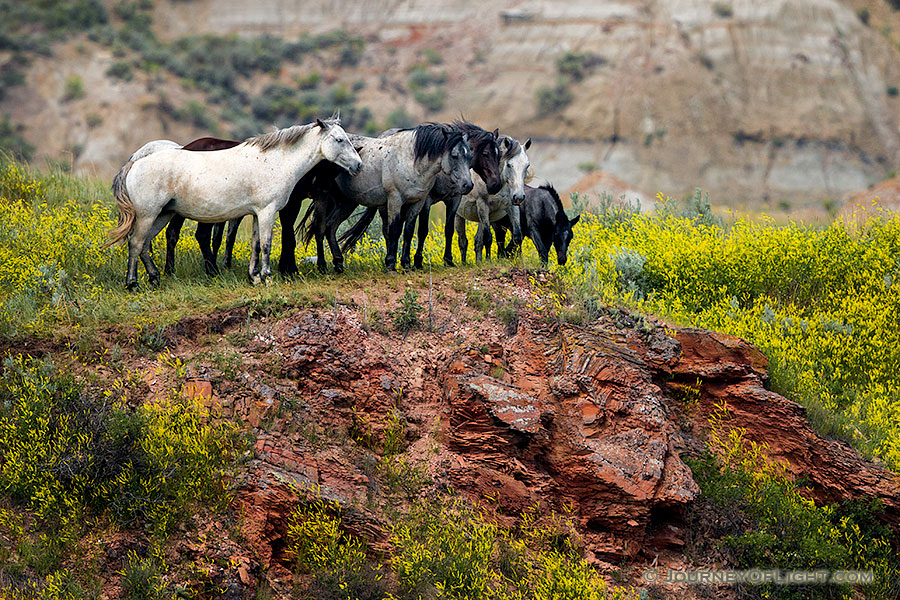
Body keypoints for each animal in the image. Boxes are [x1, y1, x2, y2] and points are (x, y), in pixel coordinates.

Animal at [110, 119, 366, 288]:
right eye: (339, 140)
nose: (359, 165)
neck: (275, 162)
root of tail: (135, 163)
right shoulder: (268, 211)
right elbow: (267, 244)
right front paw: (267, 277)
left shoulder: (256, 213)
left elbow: (255, 244)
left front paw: (254, 277)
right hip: (148, 214)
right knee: (136, 243)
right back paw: (133, 283)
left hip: (162, 215)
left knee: (145, 244)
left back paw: (154, 277)